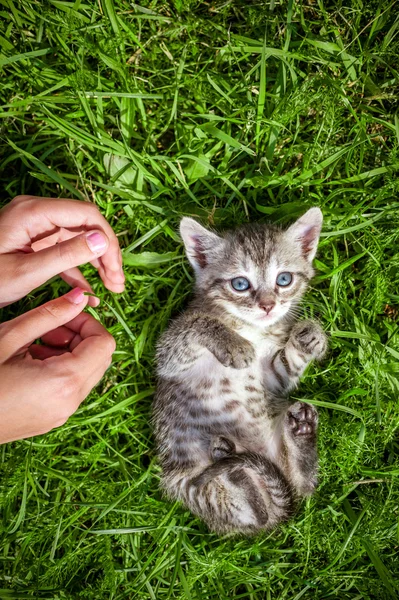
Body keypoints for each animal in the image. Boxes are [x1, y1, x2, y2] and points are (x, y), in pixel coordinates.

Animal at [155, 210, 326, 536]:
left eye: (283, 279)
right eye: (240, 284)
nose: (268, 305)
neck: (251, 328)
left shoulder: (271, 375)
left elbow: (284, 368)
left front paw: (309, 339)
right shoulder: (169, 354)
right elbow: (197, 324)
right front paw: (232, 344)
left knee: (300, 486)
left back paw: (300, 435)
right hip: (193, 483)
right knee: (253, 510)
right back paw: (231, 463)